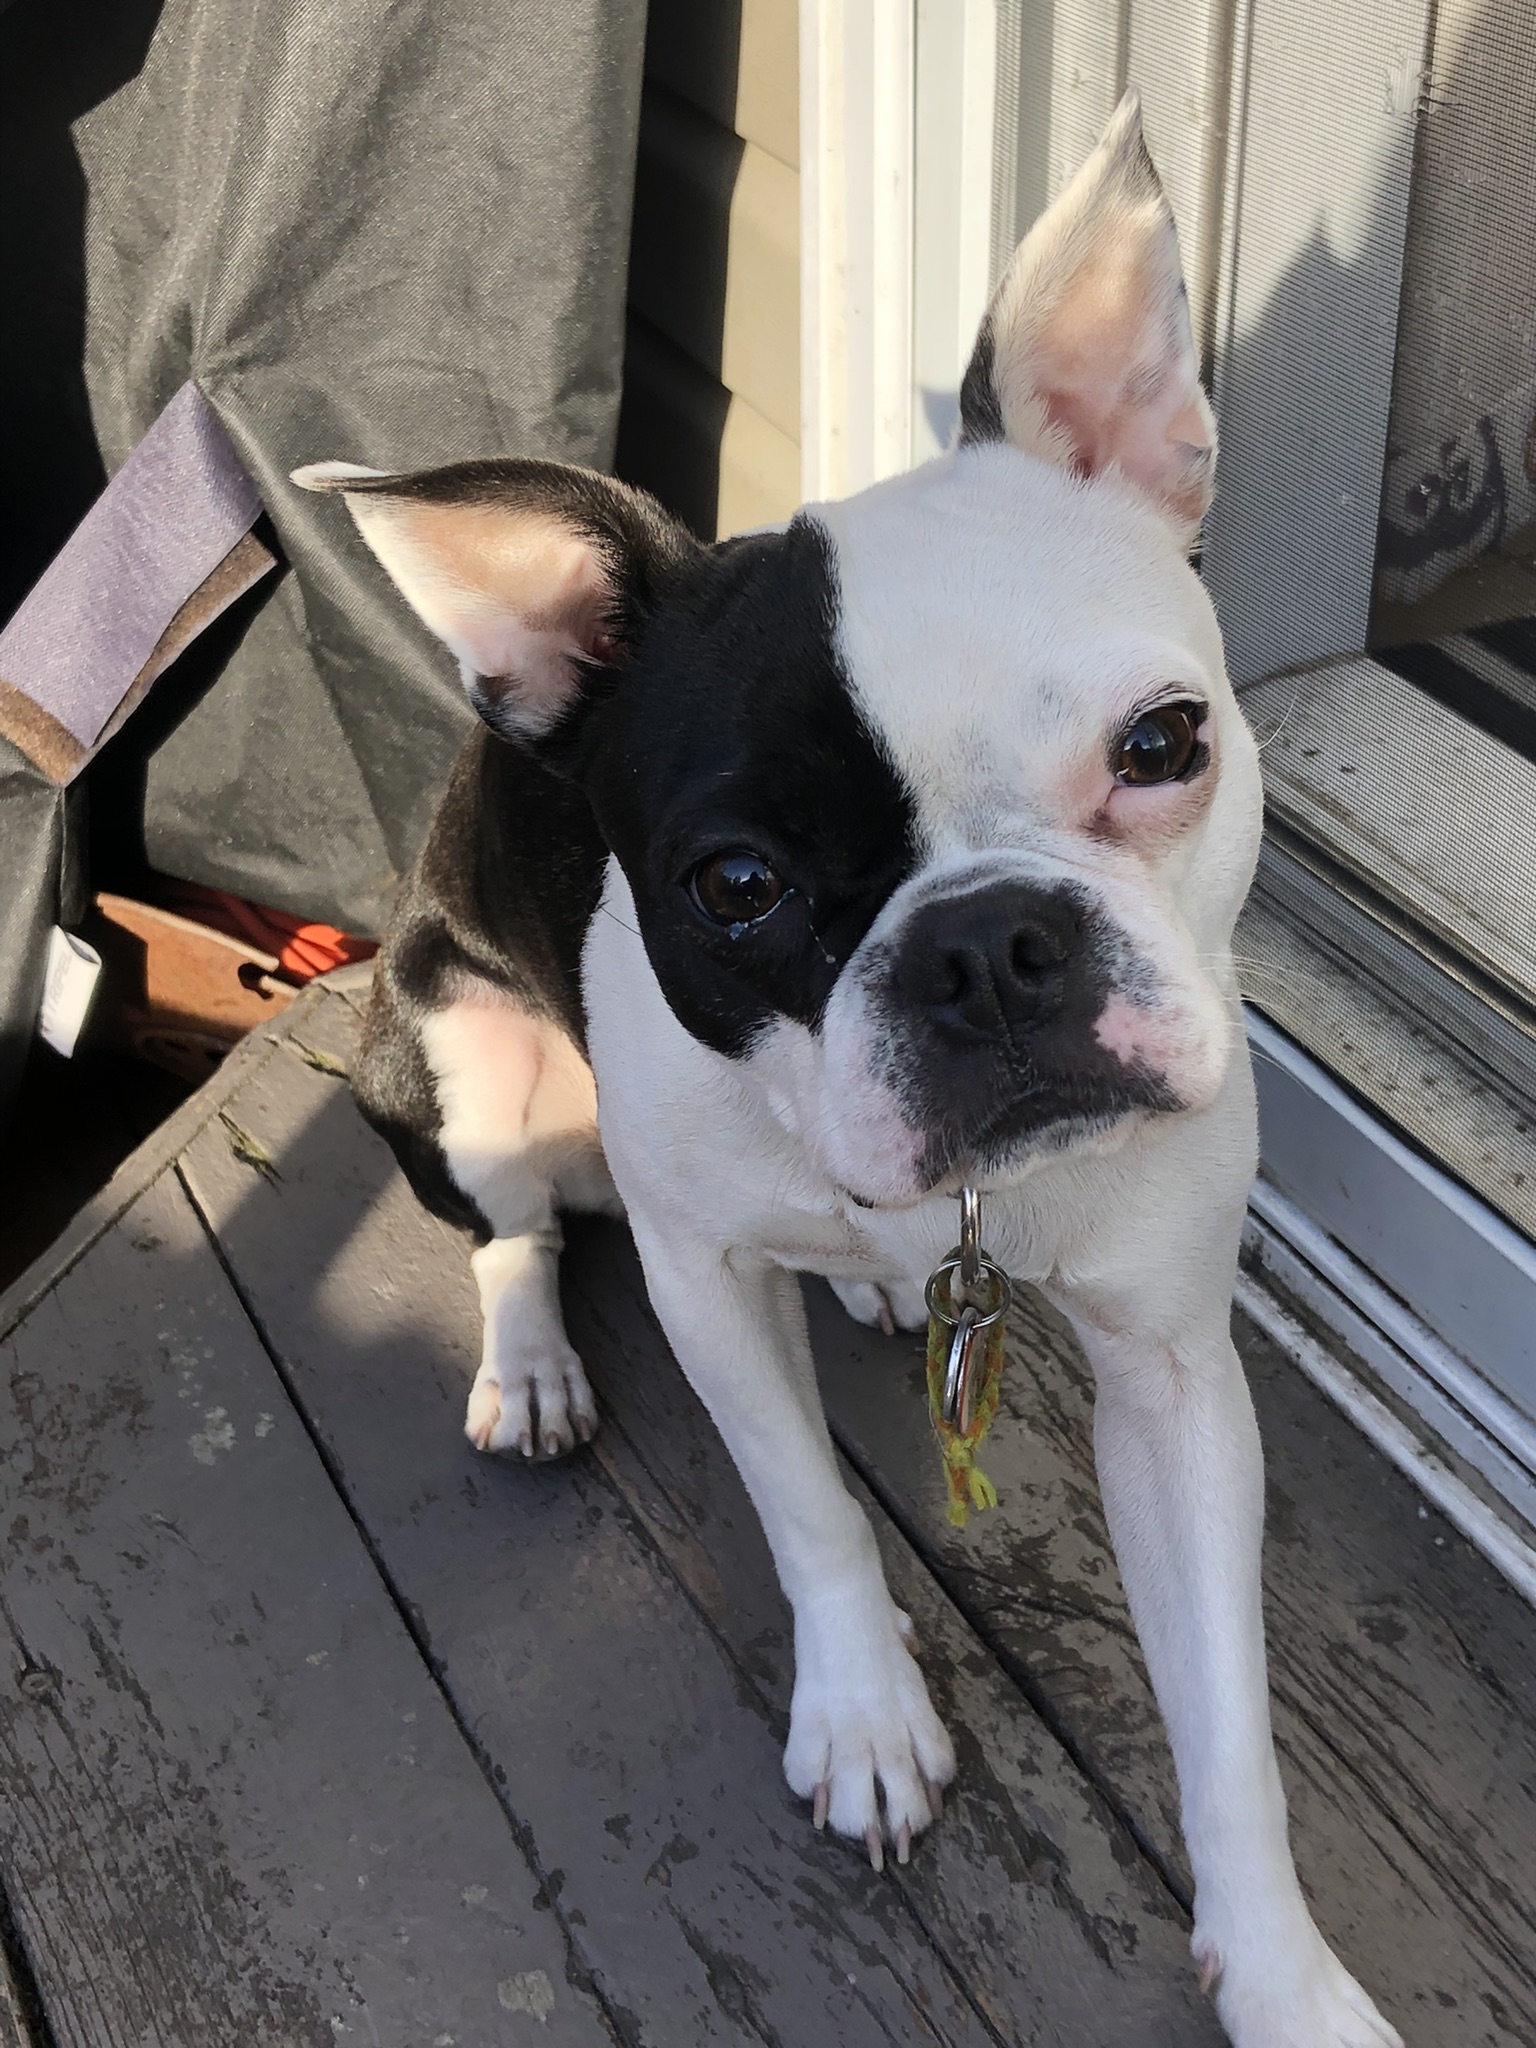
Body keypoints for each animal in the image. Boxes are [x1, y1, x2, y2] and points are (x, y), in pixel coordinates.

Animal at [293, 97, 1401, 2048]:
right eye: (735, 886)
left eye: (1164, 743)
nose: (987, 944)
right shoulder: (704, 1279)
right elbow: (806, 1506)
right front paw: (868, 1716)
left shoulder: (1175, 1376)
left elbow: (1229, 1726)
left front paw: (1282, 1975)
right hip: (453, 1052)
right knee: (510, 1228)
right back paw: (532, 1364)